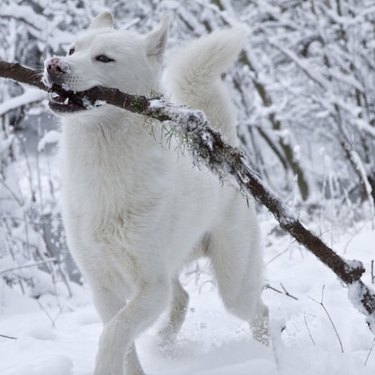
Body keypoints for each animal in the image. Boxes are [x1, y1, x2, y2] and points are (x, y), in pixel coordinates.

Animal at [44, 10, 268, 374]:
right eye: (71, 49)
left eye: (104, 58)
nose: (53, 64)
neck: (104, 167)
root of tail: (224, 149)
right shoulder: (103, 286)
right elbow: (123, 341)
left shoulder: (151, 288)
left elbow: (113, 334)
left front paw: (104, 366)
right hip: (173, 268)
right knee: (183, 299)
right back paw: (164, 343)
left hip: (234, 285)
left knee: (260, 313)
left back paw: (271, 355)